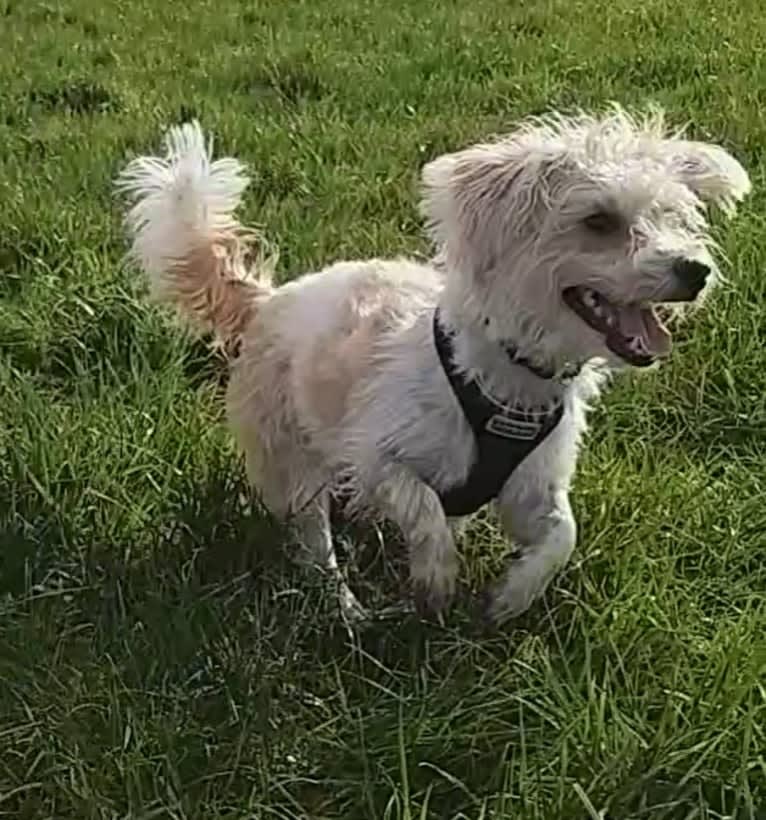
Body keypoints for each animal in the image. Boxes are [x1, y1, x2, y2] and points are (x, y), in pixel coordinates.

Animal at [117, 107, 752, 620]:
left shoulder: (533, 488)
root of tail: (265, 301)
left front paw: (511, 596)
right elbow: (419, 504)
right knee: (314, 541)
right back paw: (348, 608)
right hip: (292, 461)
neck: (507, 374)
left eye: (673, 217)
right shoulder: (374, 456)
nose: (695, 271)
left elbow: (562, 535)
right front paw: (436, 577)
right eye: (599, 221)